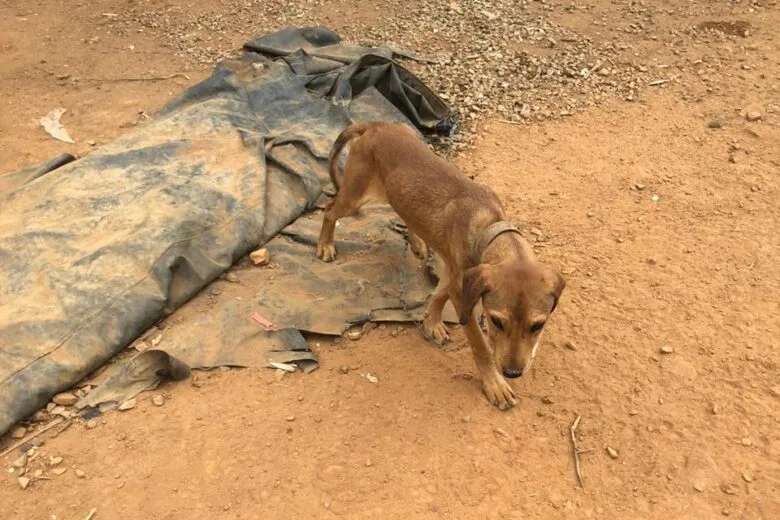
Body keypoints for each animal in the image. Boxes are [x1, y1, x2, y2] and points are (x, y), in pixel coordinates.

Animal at [316, 122, 568, 410]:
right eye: (496, 321)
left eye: (537, 326)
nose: (512, 373)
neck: (488, 226)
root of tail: (377, 125)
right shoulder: (462, 293)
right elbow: (481, 345)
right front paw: (494, 384)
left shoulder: (457, 276)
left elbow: (438, 295)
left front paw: (432, 324)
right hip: (354, 196)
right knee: (329, 209)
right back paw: (325, 245)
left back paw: (417, 243)